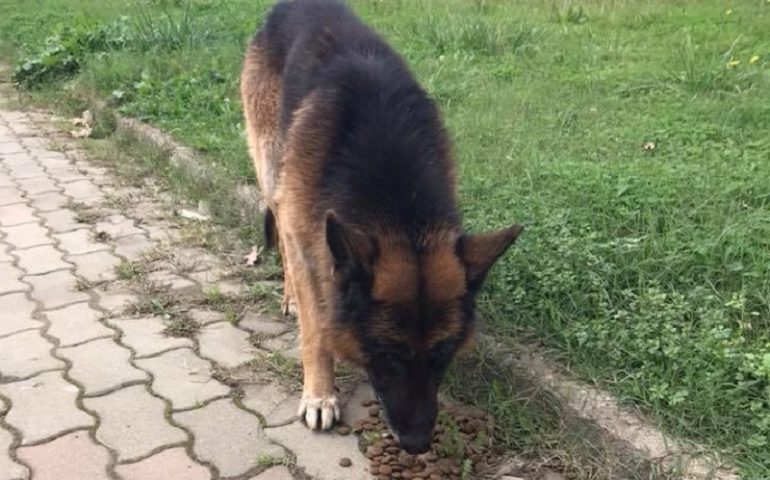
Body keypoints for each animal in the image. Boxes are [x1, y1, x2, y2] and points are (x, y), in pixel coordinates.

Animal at [240, 0, 520, 454]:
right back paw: (291, 296)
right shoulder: (308, 236)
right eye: (389, 355)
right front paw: (320, 393)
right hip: (271, 170)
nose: (417, 443)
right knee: (280, 234)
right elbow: (316, 330)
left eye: (441, 356)